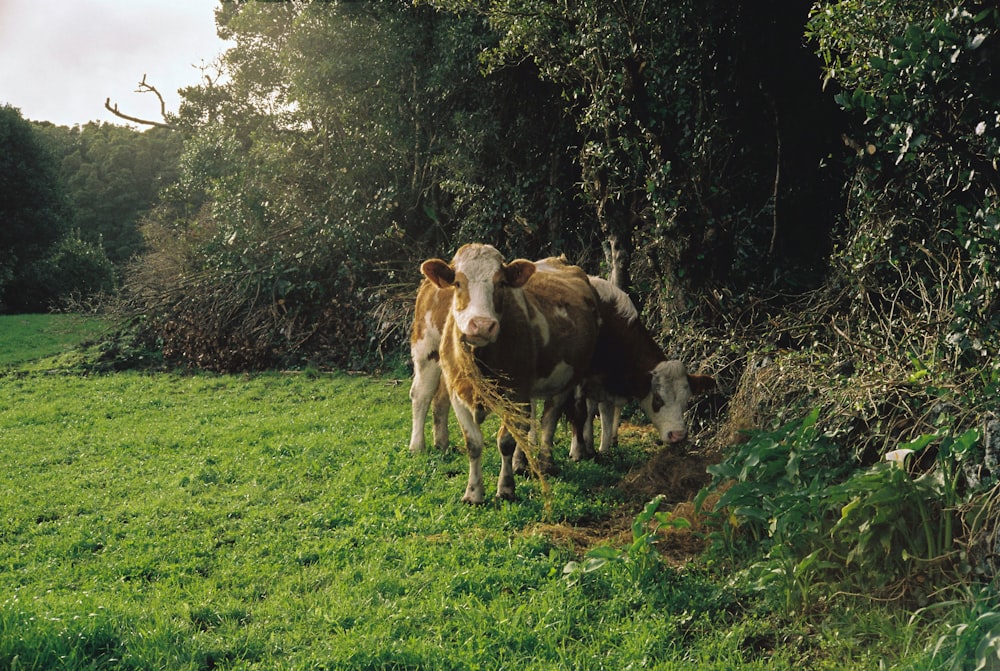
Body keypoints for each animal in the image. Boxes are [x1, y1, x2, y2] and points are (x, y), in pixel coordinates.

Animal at [416, 245, 596, 504]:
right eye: (458, 283)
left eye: (501, 283)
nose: (481, 325)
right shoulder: (458, 392)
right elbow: (473, 443)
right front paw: (473, 493)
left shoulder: (516, 393)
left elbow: (506, 441)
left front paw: (506, 488)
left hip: (567, 378)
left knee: (549, 419)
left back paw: (546, 462)